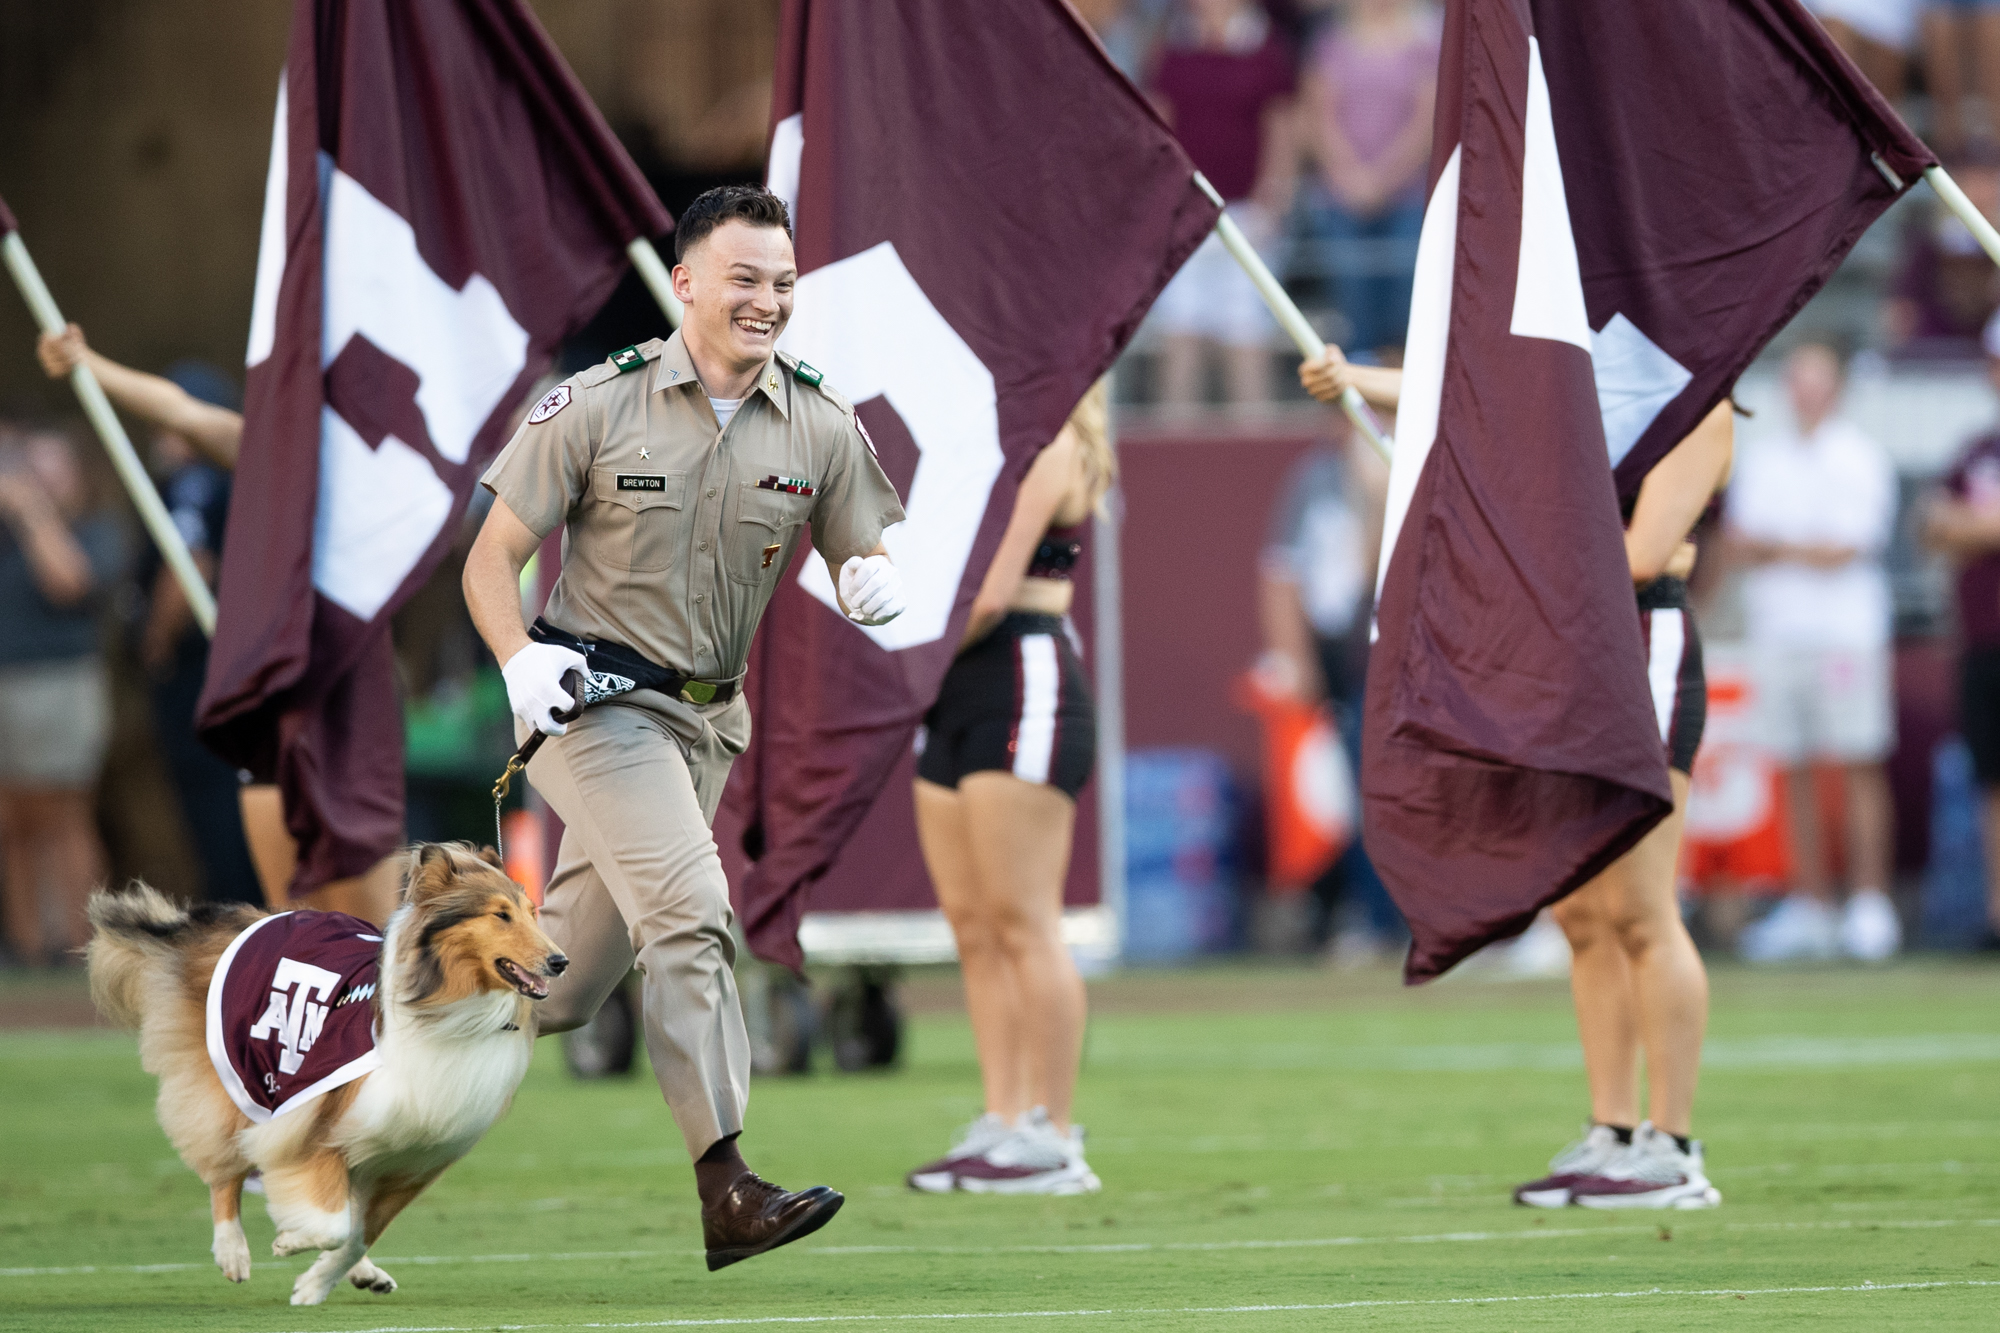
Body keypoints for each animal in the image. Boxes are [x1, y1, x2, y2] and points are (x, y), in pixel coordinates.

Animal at [85, 840, 568, 1296]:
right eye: (500, 916)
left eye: (532, 913)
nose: (560, 961)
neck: (448, 1012)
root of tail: (237, 921)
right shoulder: (314, 1119)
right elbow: (333, 1225)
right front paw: (291, 1242)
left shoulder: (412, 1158)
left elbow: (356, 1233)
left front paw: (318, 1281)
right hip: (241, 1079)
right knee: (223, 1166)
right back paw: (232, 1251)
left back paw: (362, 1272)